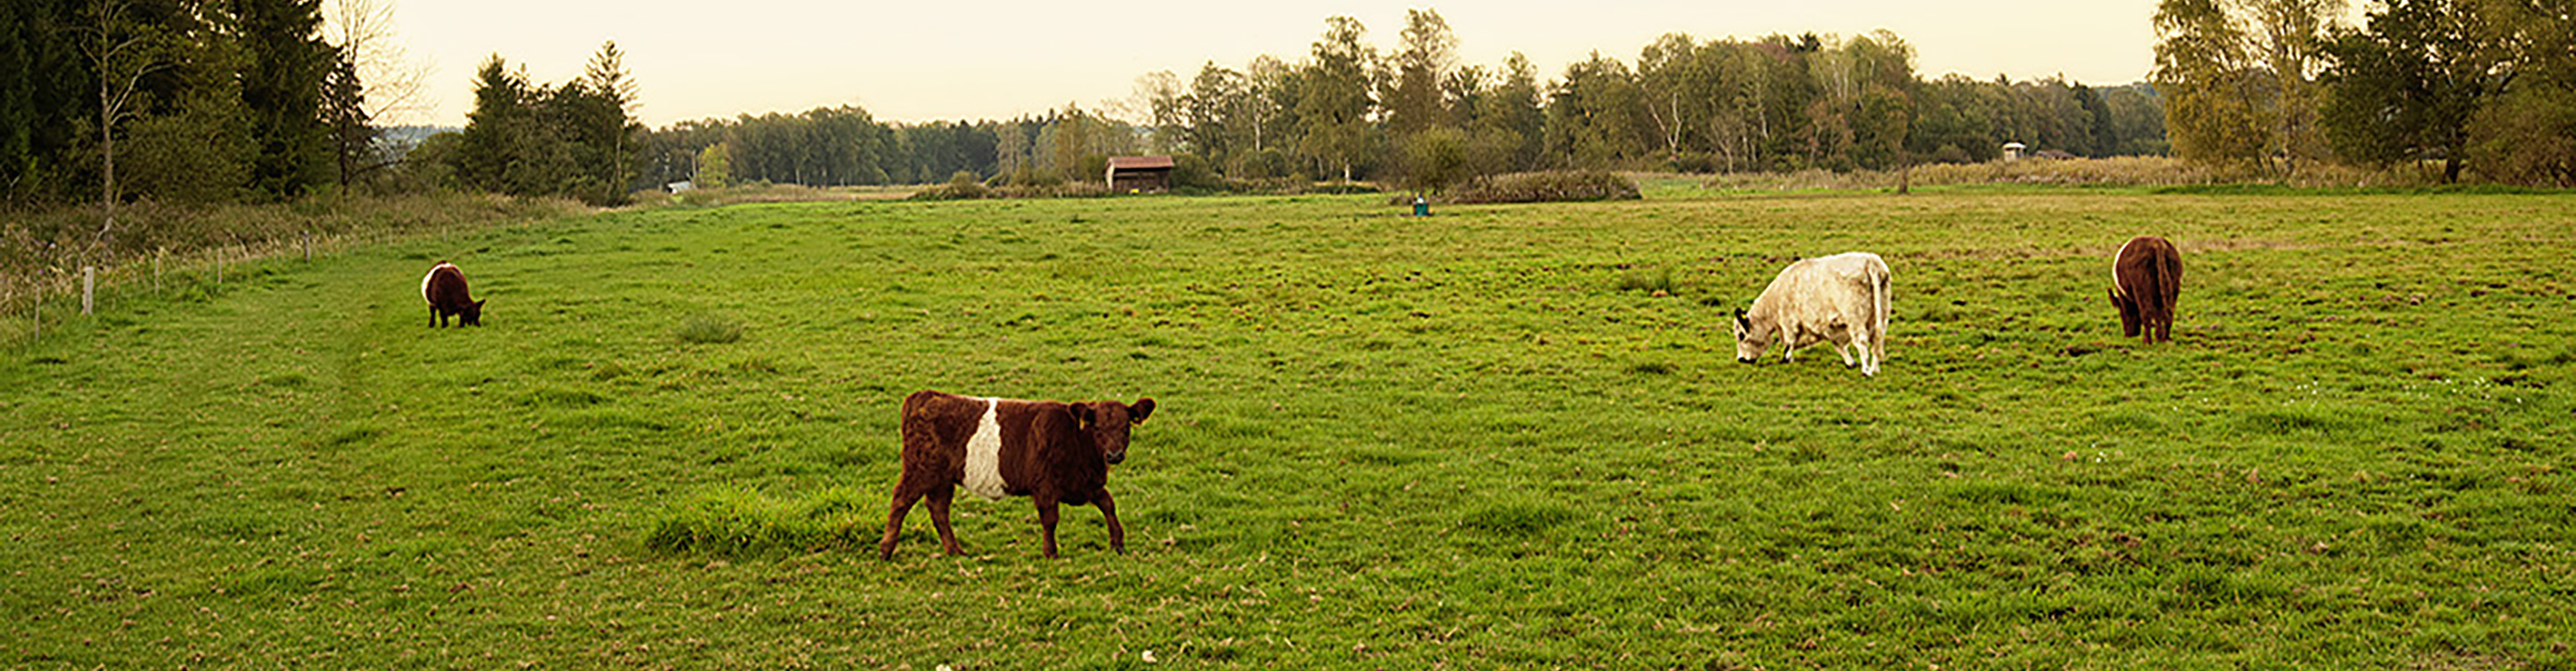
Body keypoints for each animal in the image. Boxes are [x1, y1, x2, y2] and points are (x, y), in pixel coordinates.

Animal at [886, 389, 1159, 557]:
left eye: (1126, 427)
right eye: (1098, 428)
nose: (1114, 455)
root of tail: (926, 396)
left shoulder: (1088, 484)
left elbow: (1108, 505)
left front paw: (1118, 543)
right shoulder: (1045, 486)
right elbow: (1050, 519)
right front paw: (1051, 553)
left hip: (942, 479)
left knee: (939, 510)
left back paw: (955, 551)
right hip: (920, 471)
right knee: (900, 502)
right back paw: (886, 550)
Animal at [1731, 252, 1895, 377]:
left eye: (1741, 335)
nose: (1741, 359)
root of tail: (1870, 261)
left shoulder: (1789, 323)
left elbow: (1789, 343)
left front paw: (1787, 359)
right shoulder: (1830, 327)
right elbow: (1838, 345)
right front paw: (1850, 362)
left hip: (1855, 319)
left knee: (1862, 341)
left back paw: (1866, 370)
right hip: (1881, 316)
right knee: (1877, 340)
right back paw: (1875, 368)